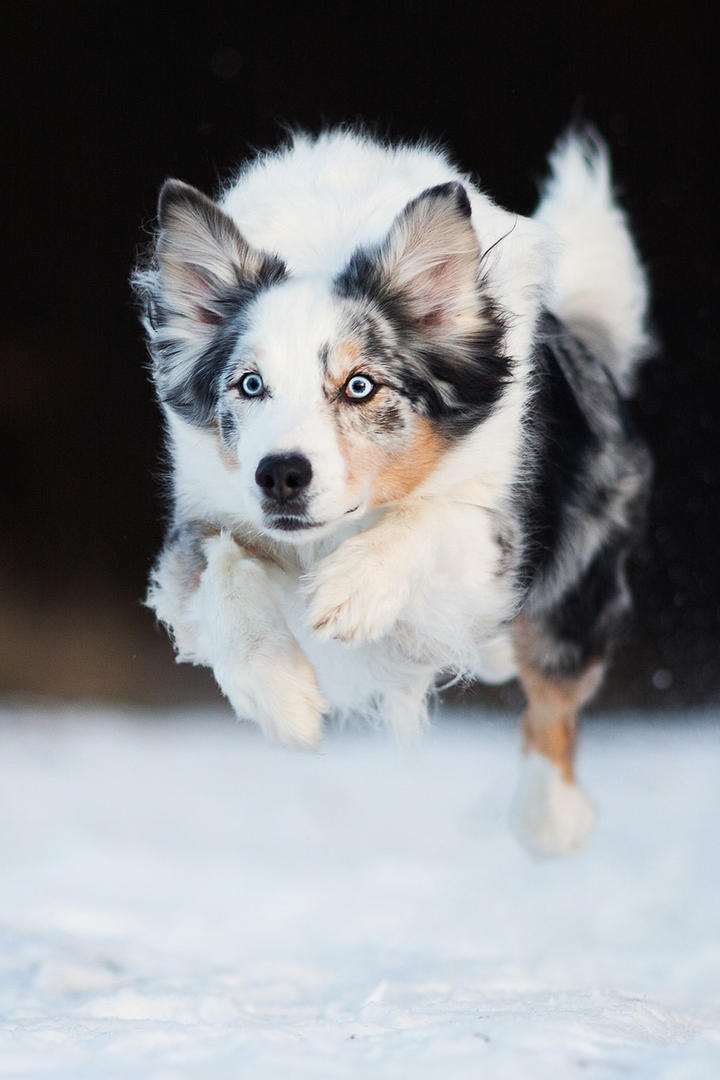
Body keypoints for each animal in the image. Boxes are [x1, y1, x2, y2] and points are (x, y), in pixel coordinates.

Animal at [132, 126, 656, 855]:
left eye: (361, 385)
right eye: (250, 384)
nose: (280, 474)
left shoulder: (496, 536)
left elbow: (431, 517)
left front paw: (349, 593)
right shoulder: (204, 516)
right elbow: (225, 572)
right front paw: (282, 697)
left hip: (573, 579)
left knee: (553, 695)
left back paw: (549, 818)